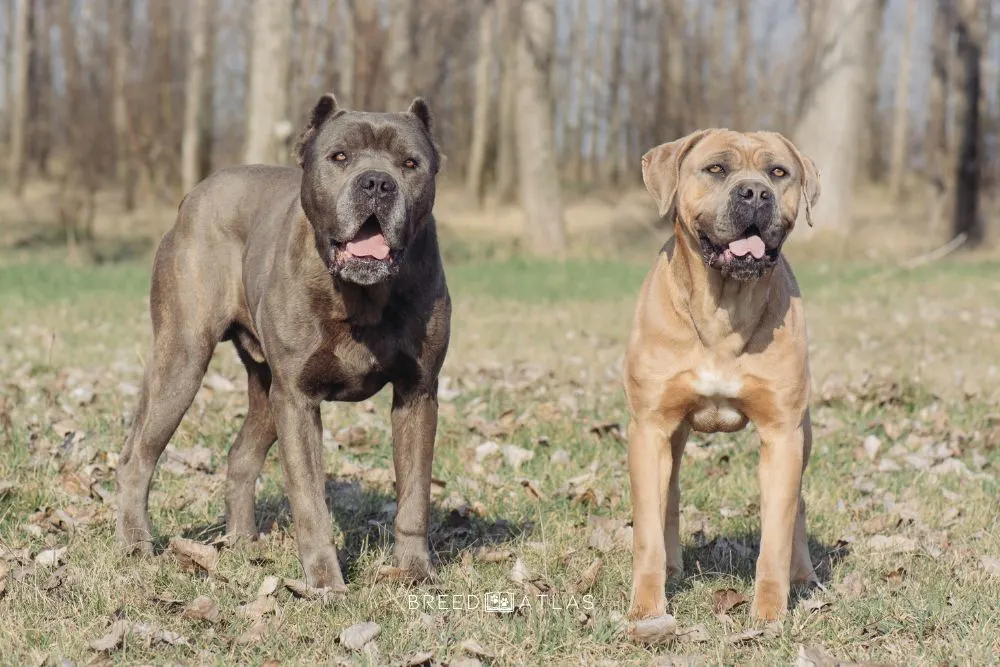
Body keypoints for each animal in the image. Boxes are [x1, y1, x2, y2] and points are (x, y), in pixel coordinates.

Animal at [114, 94, 454, 588]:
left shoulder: (417, 393)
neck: (361, 294)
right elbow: (311, 500)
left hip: (265, 389)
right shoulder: (297, 399)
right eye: (339, 157)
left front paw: (413, 572)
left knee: (240, 457)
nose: (376, 183)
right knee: (138, 455)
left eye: (410, 163)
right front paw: (326, 583)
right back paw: (137, 544)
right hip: (183, 361)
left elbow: (415, 494)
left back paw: (242, 543)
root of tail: (194, 195)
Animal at [624, 129, 820, 620]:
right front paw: (647, 610)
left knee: (798, 504)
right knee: (670, 496)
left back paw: (803, 576)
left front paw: (768, 613)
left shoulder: (782, 434)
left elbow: (776, 533)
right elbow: (648, 531)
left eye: (778, 172)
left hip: (803, 434)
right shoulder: (649, 428)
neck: (723, 308)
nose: (755, 193)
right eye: (716, 169)